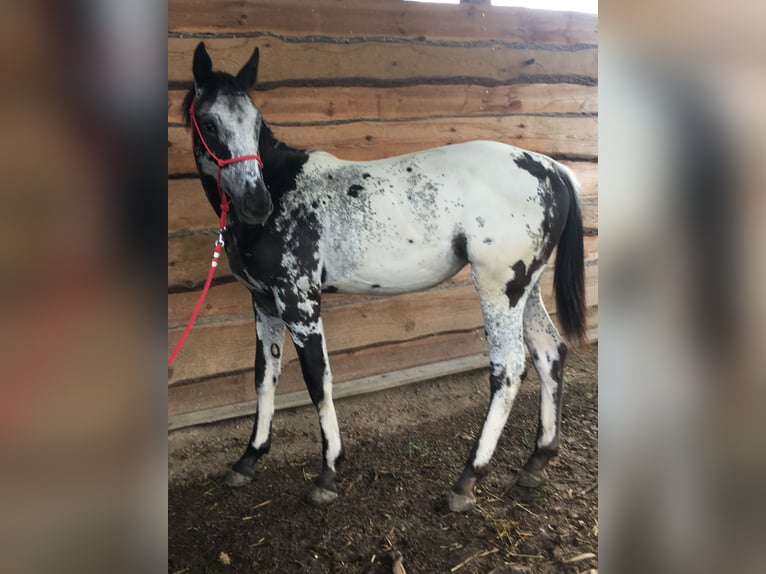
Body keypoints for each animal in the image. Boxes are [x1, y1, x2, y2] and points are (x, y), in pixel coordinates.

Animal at [184, 42, 588, 516]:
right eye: (211, 123)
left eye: (256, 123)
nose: (255, 202)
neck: (284, 190)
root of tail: (552, 169)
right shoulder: (264, 302)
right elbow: (265, 375)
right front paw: (248, 459)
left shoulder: (299, 300)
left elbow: (317, 378)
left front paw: (328, 473)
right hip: (526, 288)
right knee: (549, 352)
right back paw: (537, 461)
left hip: (499, 289)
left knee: (508, 370)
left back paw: (466, 480)